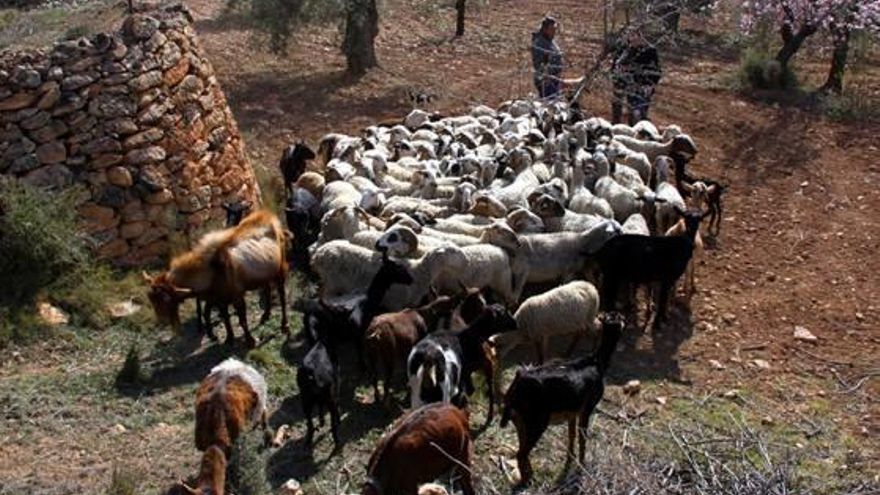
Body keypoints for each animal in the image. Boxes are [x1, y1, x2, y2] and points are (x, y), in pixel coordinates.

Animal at [502, 314, 624, 488]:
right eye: (619, 319)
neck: (596, 361)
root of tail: (517, 384)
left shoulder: (572, 412)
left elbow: (571, 435)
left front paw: (571, 458)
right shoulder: (587, 408)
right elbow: (582, 437)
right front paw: (582, 464)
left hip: (520, 420)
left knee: (521, 450)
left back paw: (529, 476)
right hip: (536, 422)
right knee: (521, 453)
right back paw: (527, 480)